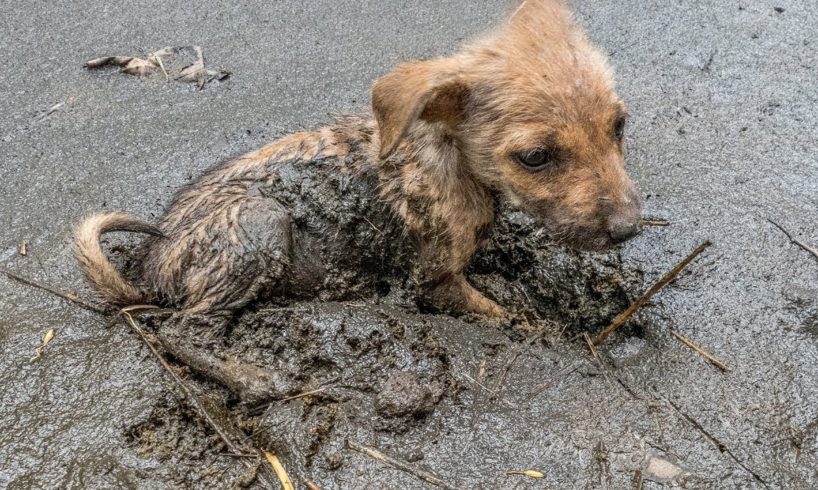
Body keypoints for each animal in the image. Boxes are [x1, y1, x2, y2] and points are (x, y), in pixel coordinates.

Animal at [73, 0, 640, 398]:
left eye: (619, 125)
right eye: (536, 157)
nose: (630, 228)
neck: (448, 159)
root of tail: (149, 266)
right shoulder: (434, 283)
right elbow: (501, 312)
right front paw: (535, 320)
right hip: (260, 220)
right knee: (182, 329)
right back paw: (252, 377)